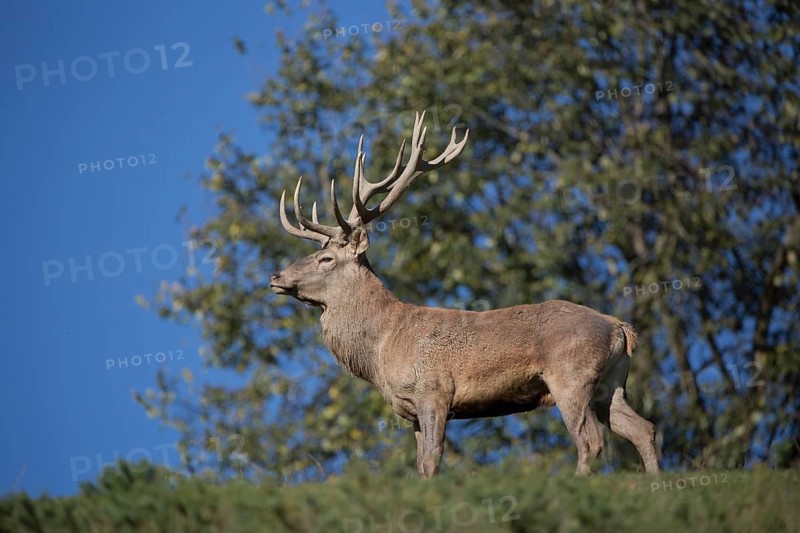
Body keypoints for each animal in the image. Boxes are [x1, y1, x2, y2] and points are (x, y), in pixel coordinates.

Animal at [270, 111, 660, 478]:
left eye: (325, 258)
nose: (276, 276)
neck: (383, 346)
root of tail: (620, 329)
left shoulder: (434, 391)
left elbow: (432, 459)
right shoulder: (411, 409)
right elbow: (421, 464)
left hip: (571, 375)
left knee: (590, 440)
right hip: (611, 382)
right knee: (644, 428)